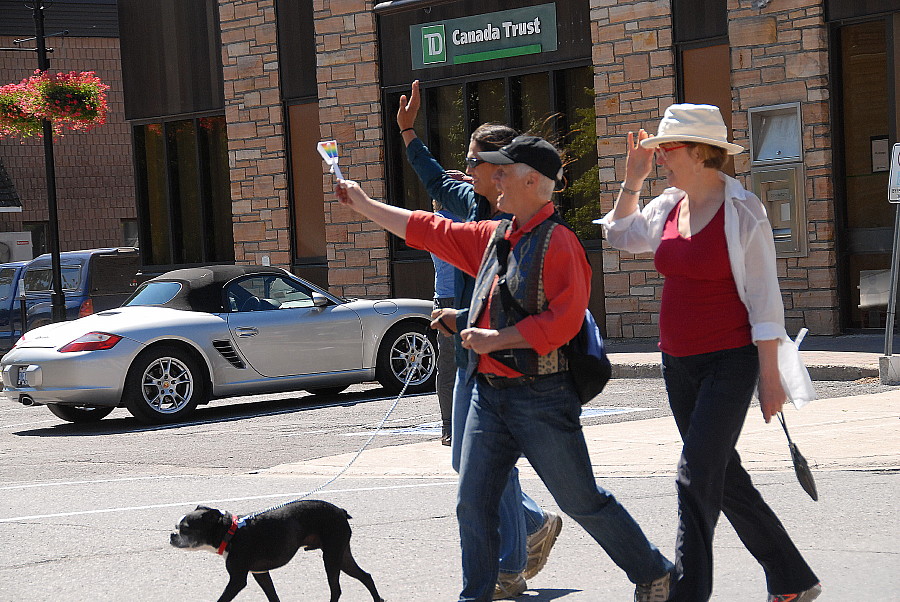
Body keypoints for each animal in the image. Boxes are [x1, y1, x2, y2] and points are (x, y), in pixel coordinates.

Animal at [170, 496, 384, 600]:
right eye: (176, 527)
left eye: (185, 529)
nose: (172, 535)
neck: (230, 533)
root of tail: (340, 511)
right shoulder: (261, 574)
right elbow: (273, 596)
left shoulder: (237, 580)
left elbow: (222, 599)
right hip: (341, 554)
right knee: (365, 576)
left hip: (331, 557)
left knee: (336, 589)